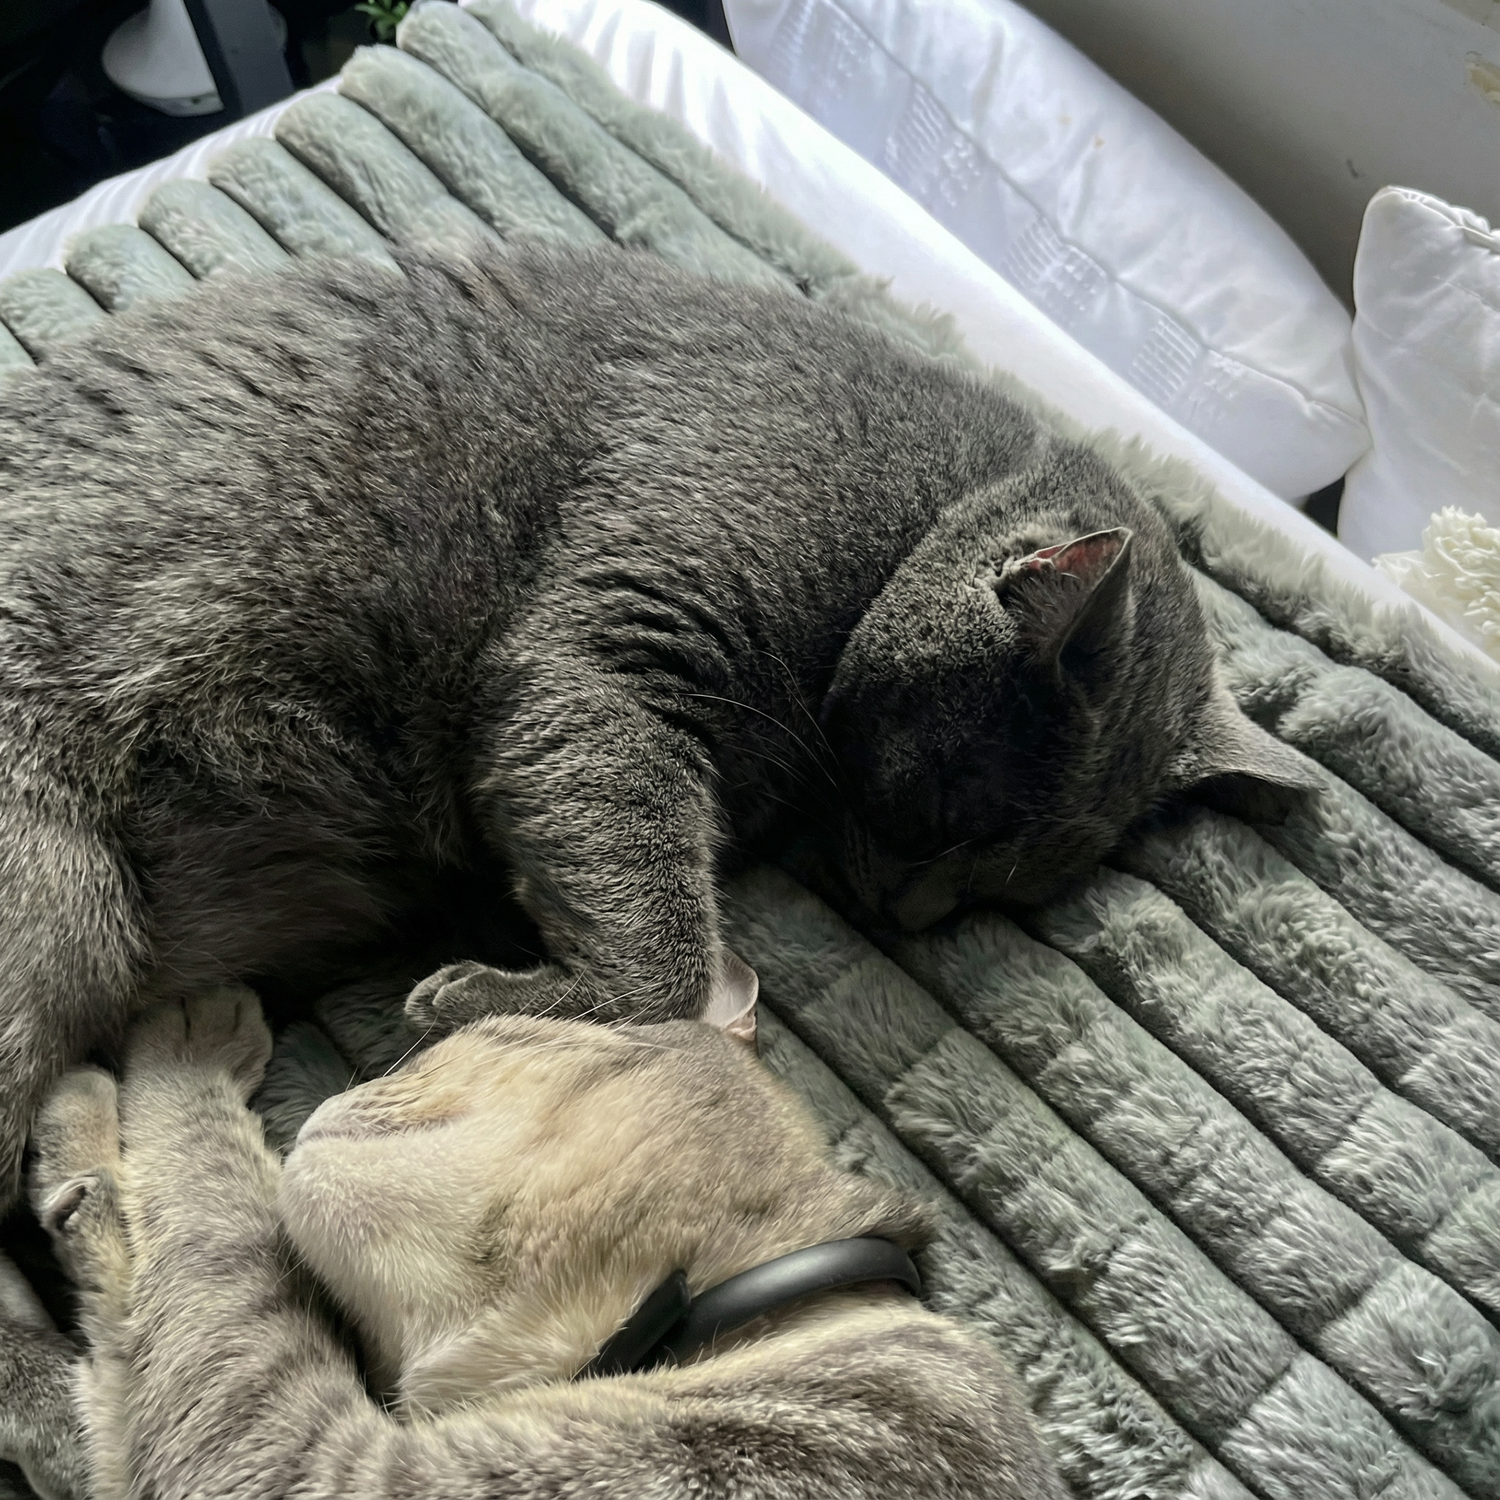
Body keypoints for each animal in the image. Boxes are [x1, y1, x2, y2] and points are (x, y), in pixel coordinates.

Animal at [26, 985, 1069, 1500]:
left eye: (490, 1037)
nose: (361, 1084)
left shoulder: (300, 1458)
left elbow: (215, 1202)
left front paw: (184, 1043)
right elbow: (129, 1354)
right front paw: (78, 1164)